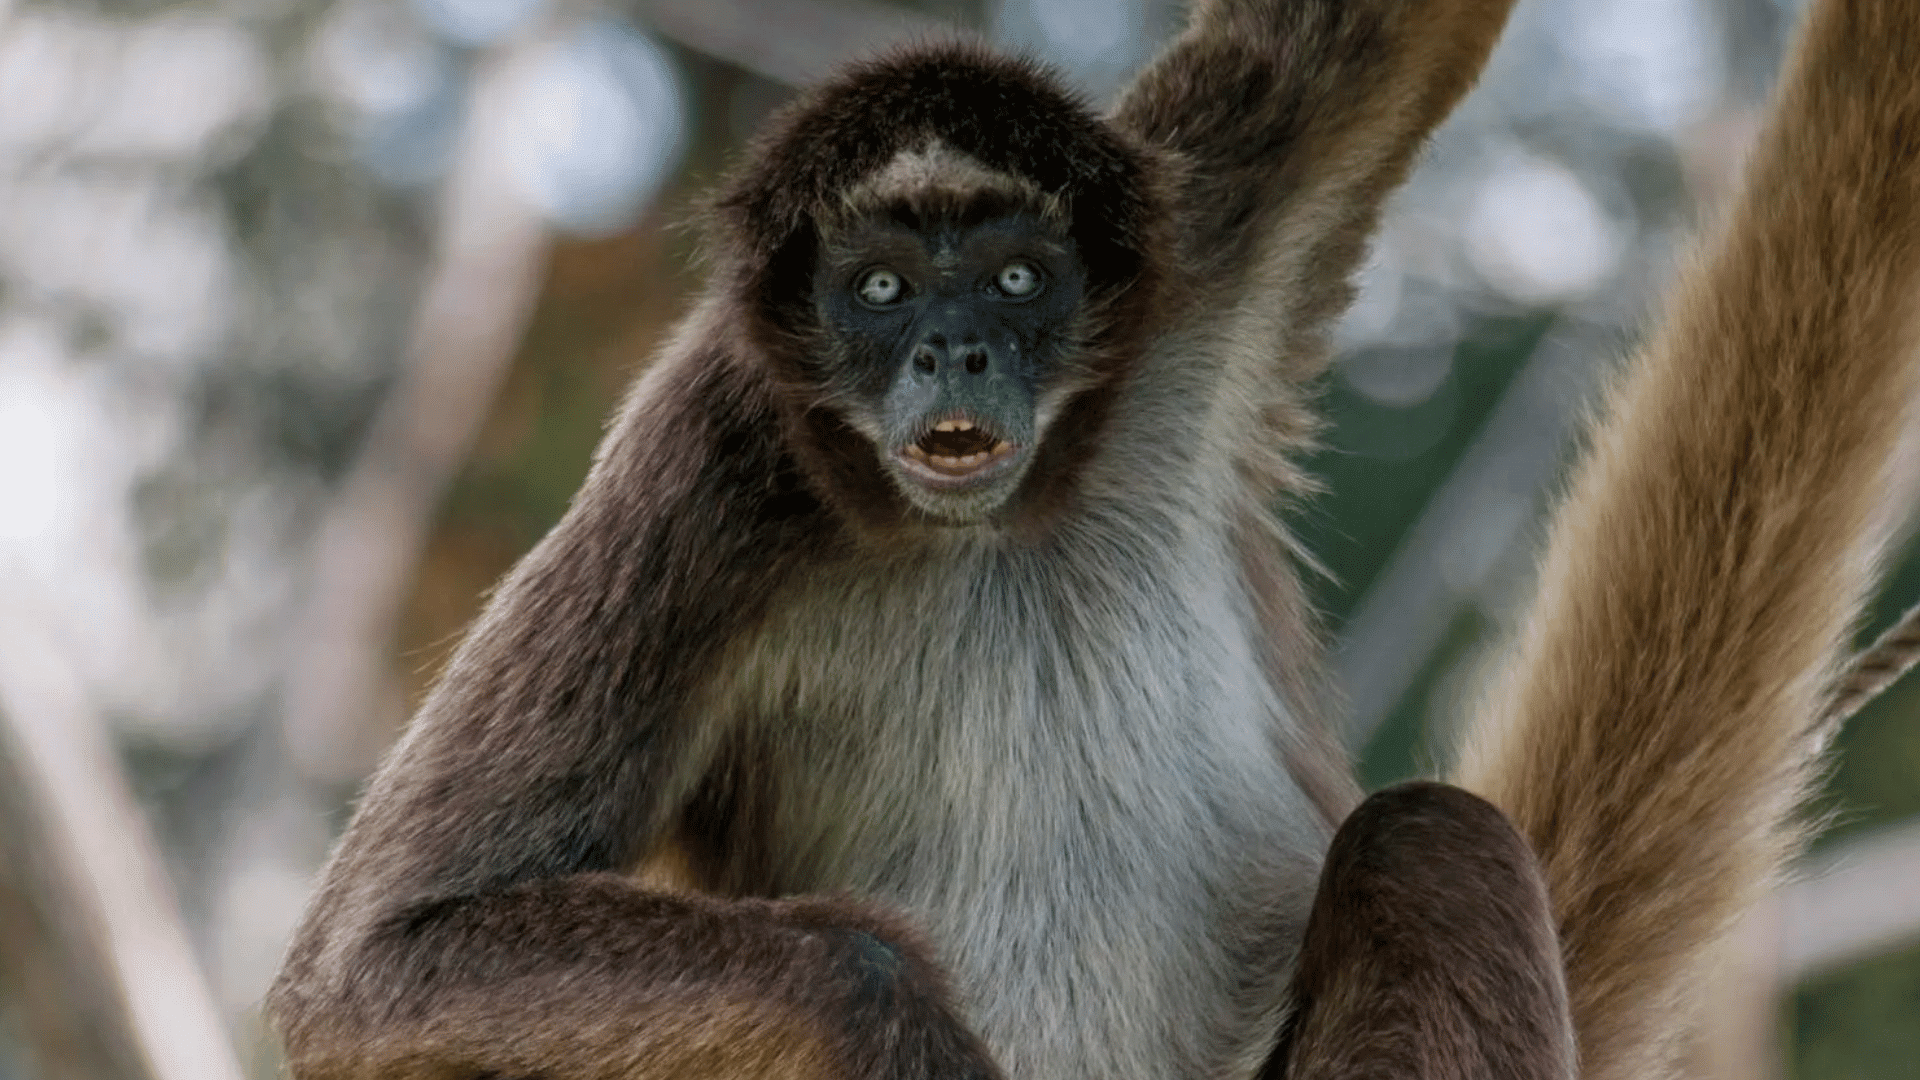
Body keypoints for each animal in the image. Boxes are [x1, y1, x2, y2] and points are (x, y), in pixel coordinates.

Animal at [264, 0, 1920, 1079]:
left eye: (1015, 275)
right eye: (879, 289)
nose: (955, 351)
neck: (988, 527)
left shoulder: (1207, 219)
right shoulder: (709, 465)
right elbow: (367, 970)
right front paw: (906, 1038)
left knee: (1430, 842)